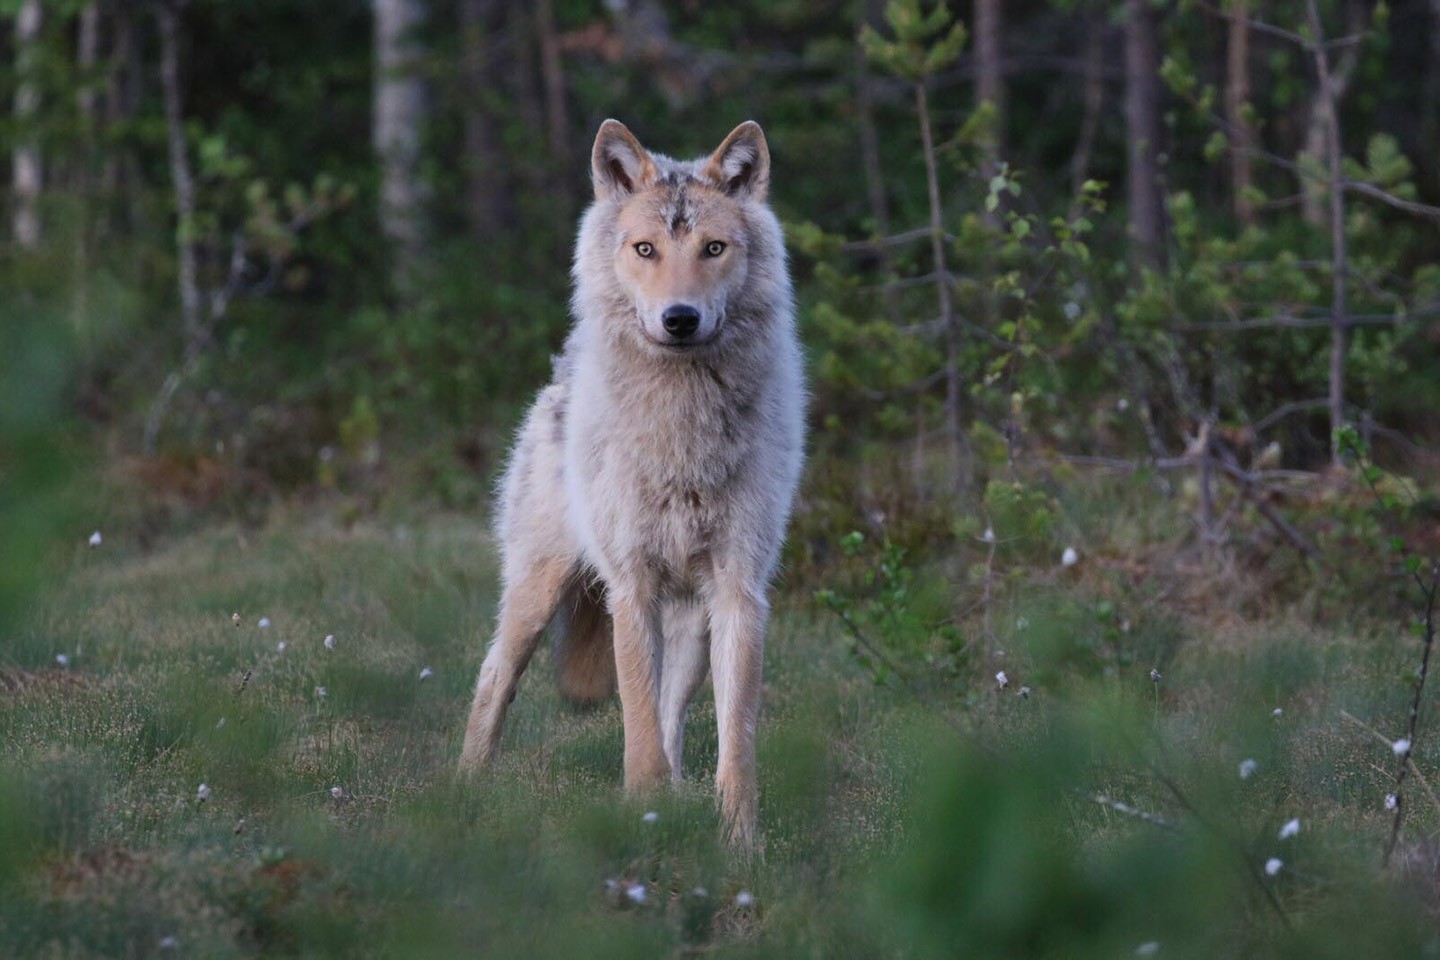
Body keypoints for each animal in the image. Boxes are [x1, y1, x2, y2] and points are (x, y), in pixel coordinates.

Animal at [457, 118, 806, 846]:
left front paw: (740, 847)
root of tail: (562, 368)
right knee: (493, 678)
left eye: (713, 248)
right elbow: (638, 734)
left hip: (693, 628)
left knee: (674, 718)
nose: (680, 318)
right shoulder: (631, 588)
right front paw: (641, 823)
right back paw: (462, 794)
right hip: (537, 592)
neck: (682, 433)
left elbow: (735, 743)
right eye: (646, 248)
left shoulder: (740, 594)